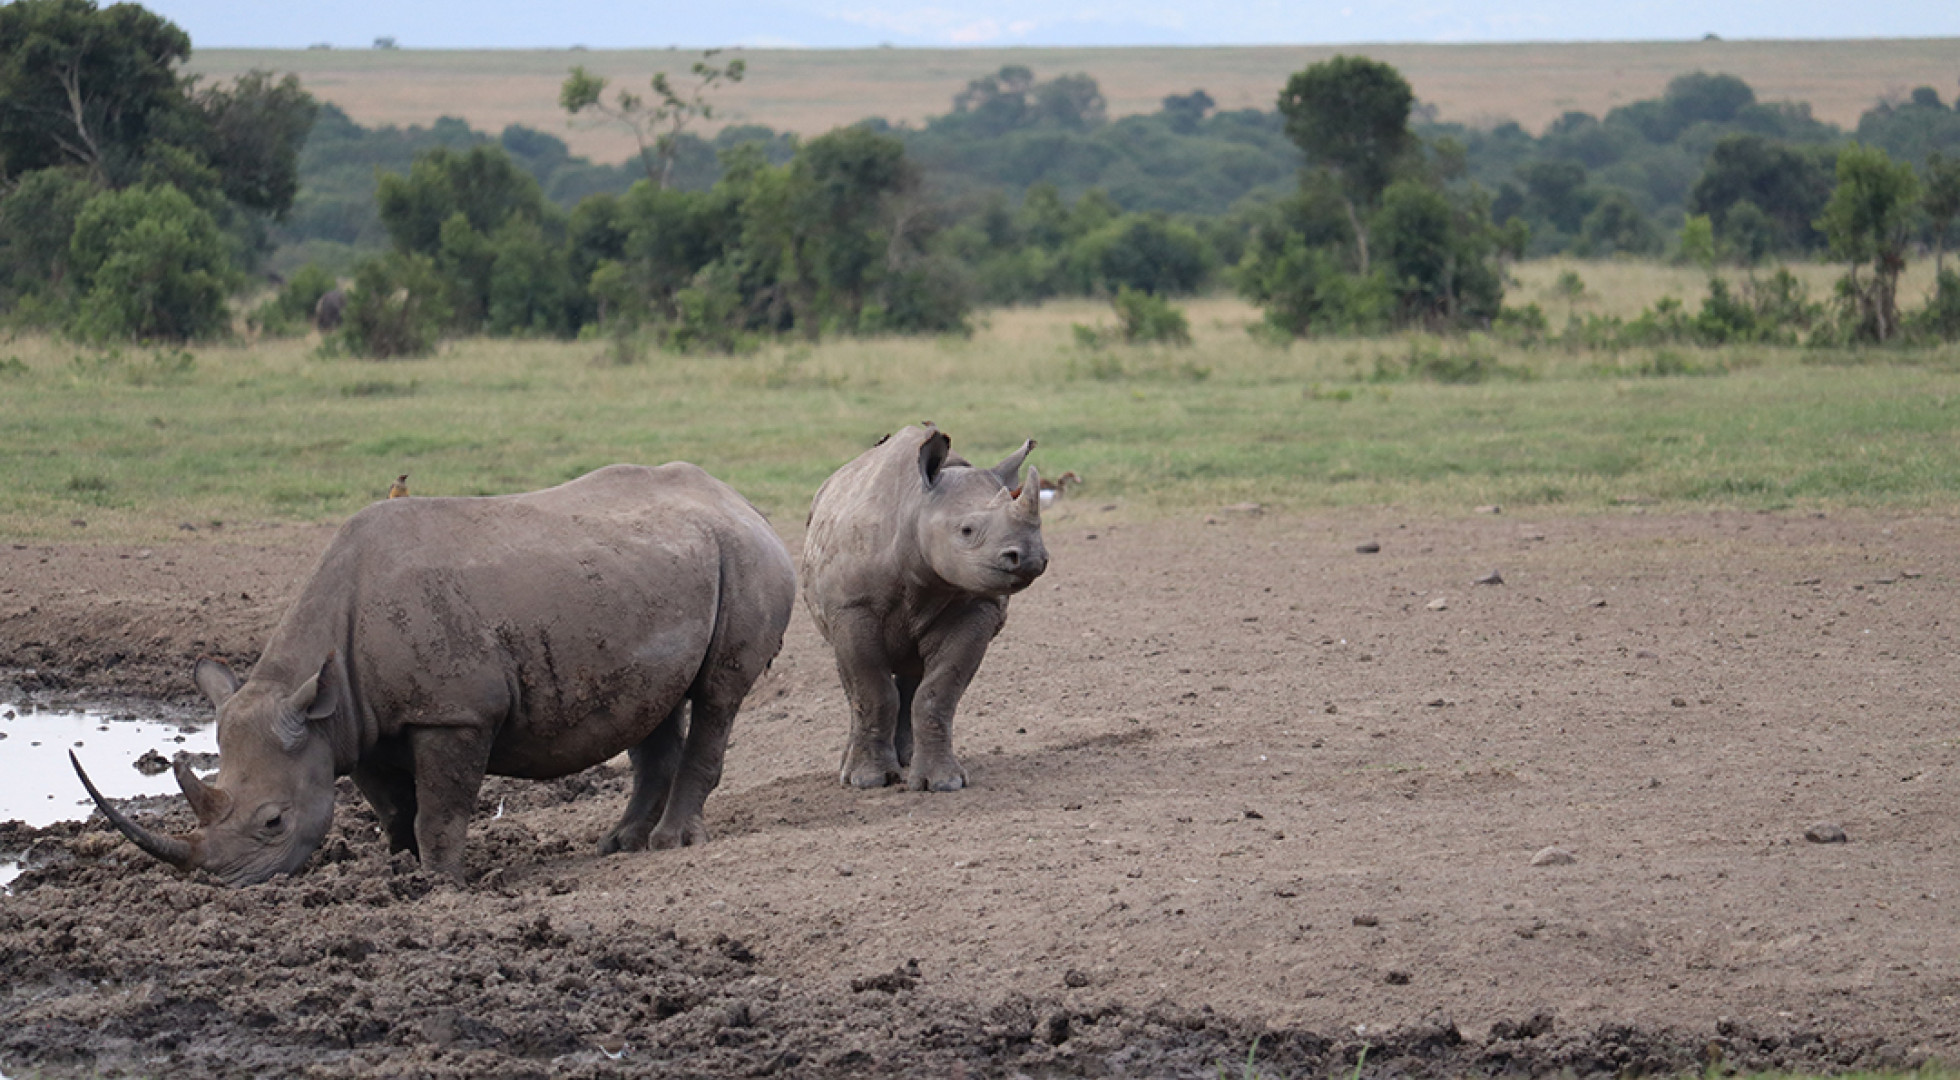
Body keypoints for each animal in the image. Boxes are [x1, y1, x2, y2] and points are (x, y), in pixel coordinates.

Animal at [72, 464, 796, 886]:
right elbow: (396, 807)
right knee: (654, 706)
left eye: (274, 823)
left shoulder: (454, 712)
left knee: (719, 694)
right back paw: (618, 846)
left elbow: (442, 807)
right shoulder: (351, 722)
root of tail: (743, 503)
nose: (215, 884)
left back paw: (670, 844)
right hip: (653, 571)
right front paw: (400, 873)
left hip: (745, 557)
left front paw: (444, 885)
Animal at [801, 424, 1048, 791]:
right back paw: (849, 770)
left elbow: (938, 693)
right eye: (967, 530)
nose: (1030, 558)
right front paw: (869, 780)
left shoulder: (979, 606)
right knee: (852, 678)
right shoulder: (852, 607)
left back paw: (905, 759)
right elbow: (872, 690)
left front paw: (942, 782)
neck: (917, 505)